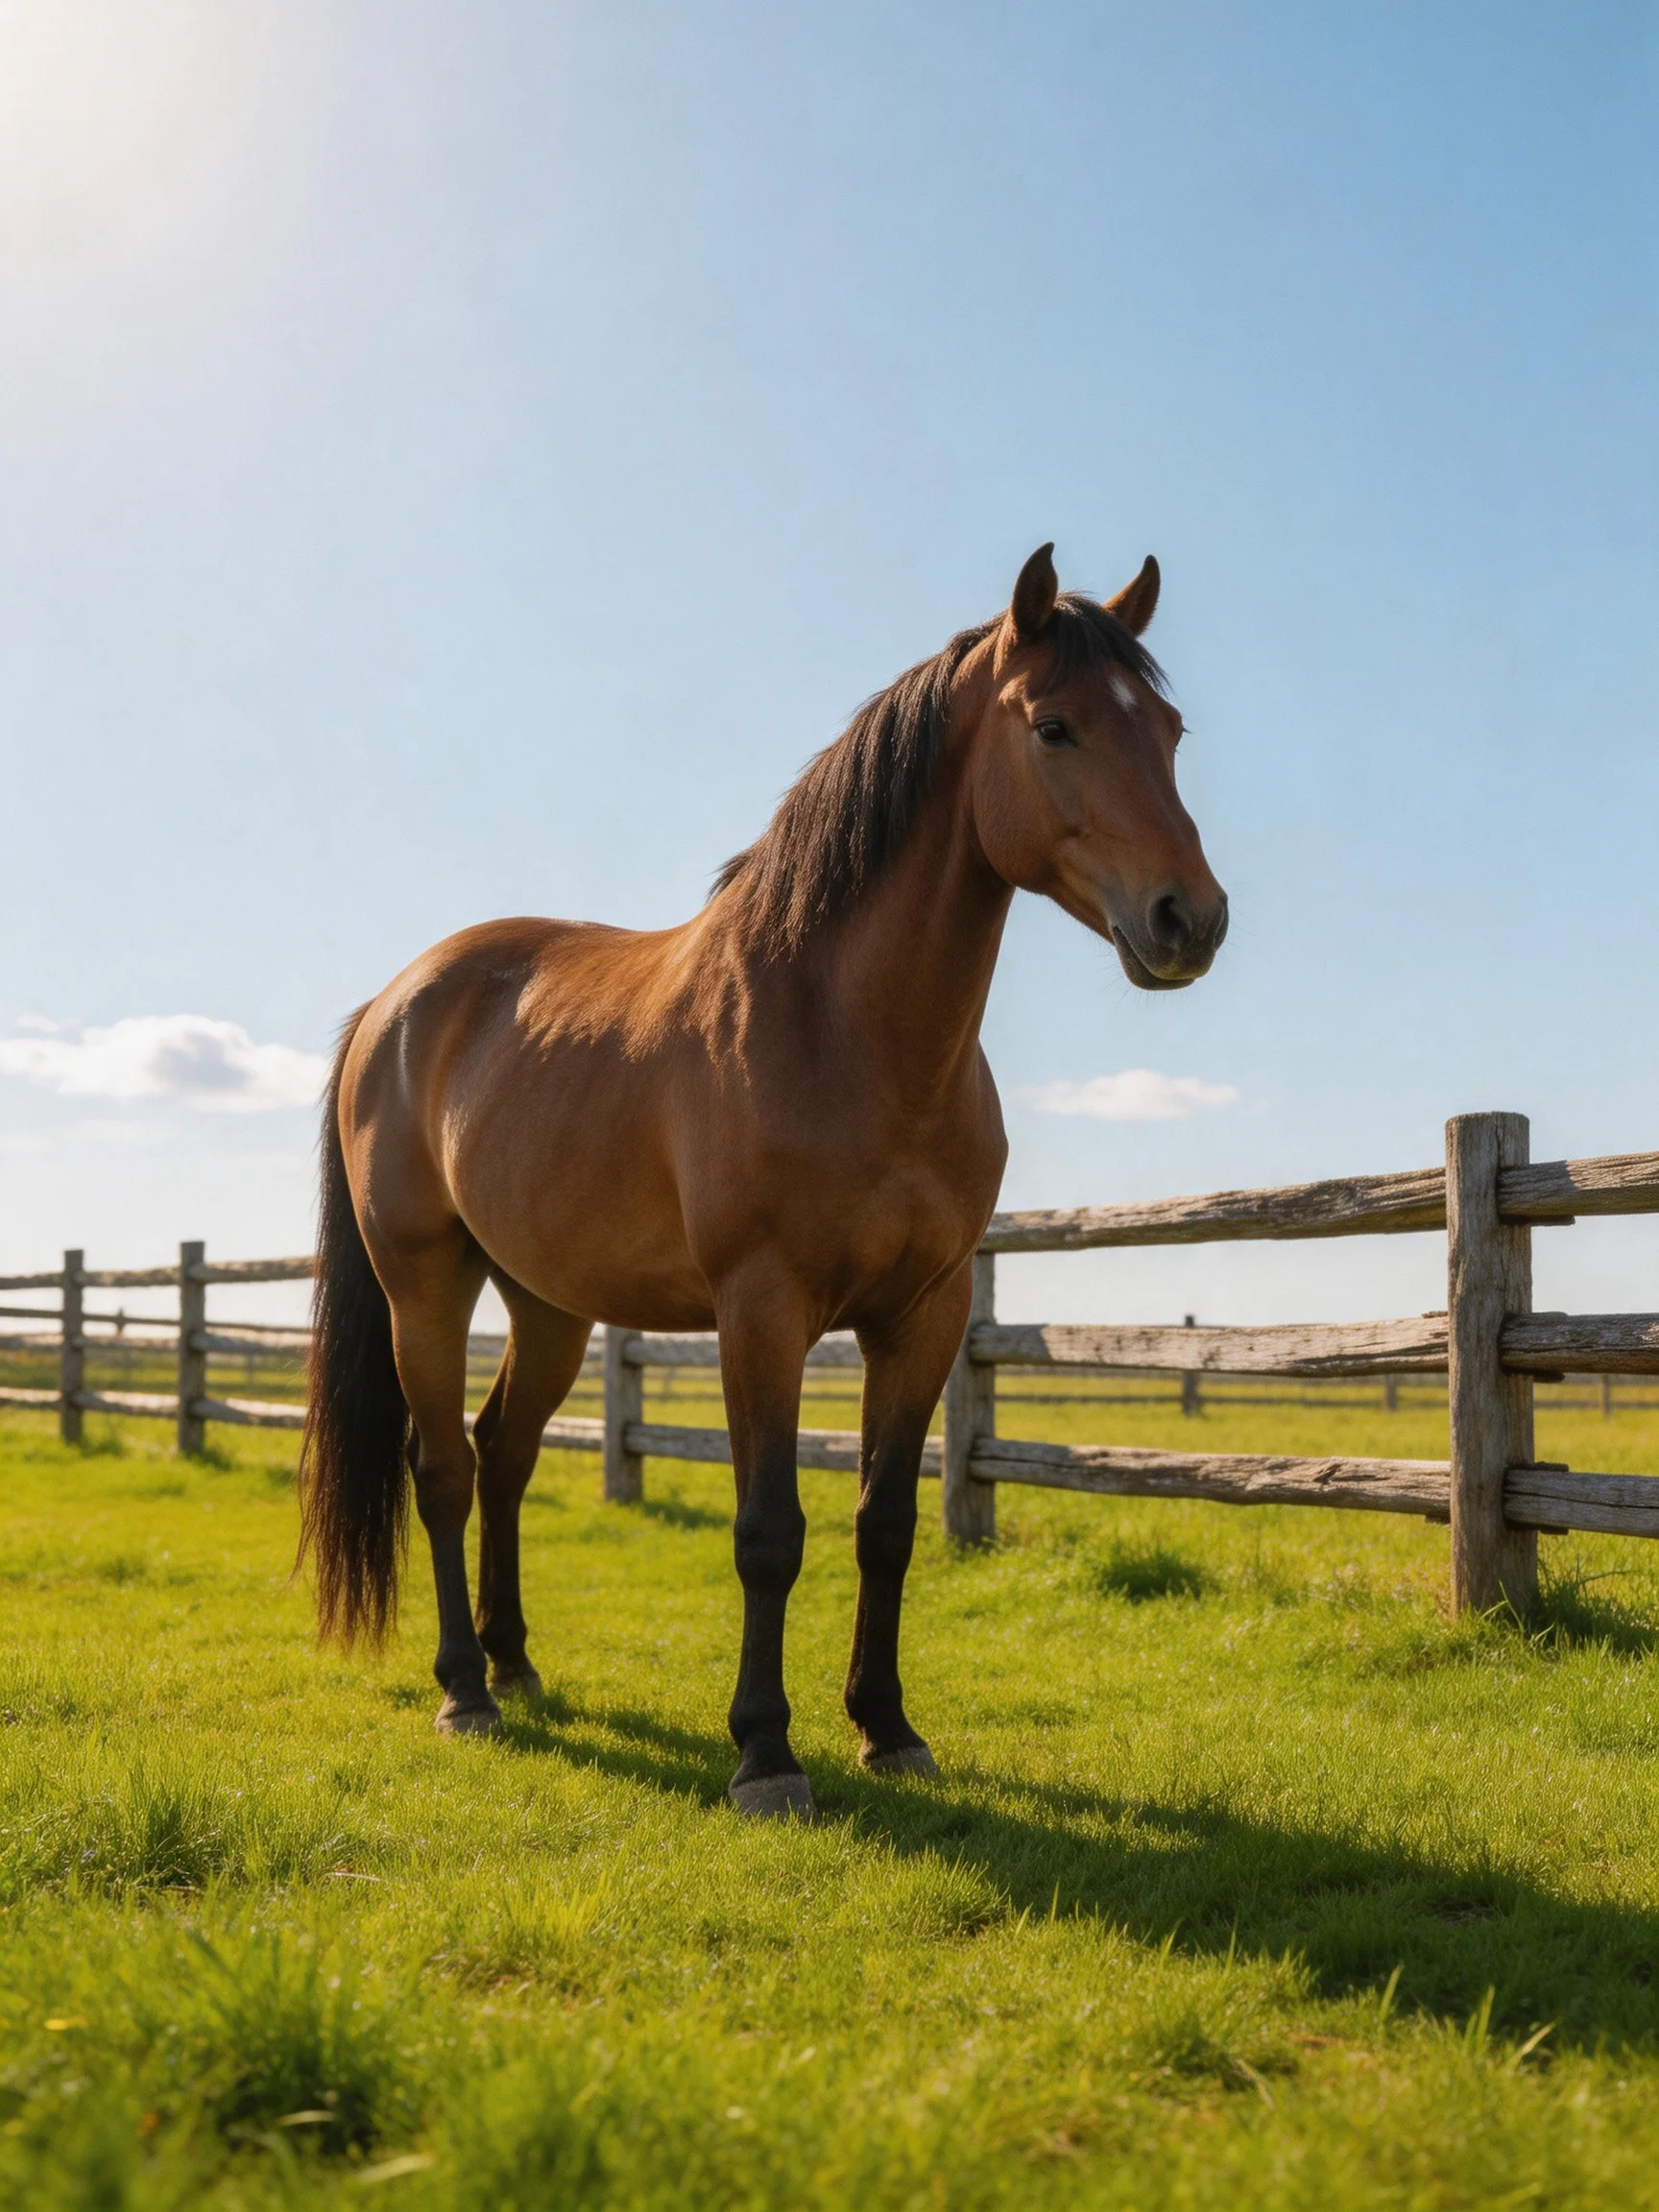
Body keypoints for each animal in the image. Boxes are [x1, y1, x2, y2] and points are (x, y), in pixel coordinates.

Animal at [298, 543, 1227, 1819]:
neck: (838, 1028)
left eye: (1173, 730)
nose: (1191, 919)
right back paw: (466, 1694)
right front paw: (766, 1754)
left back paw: (517, 1662)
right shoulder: (763, 1311)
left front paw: (886, 1728)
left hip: (547, 1302)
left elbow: (884, 1522)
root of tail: (395, 1003)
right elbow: (768, 1532)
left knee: (506, 1453)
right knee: (442, 1469)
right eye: (1055, 726)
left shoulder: (924, 1314)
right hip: (423, 1285)